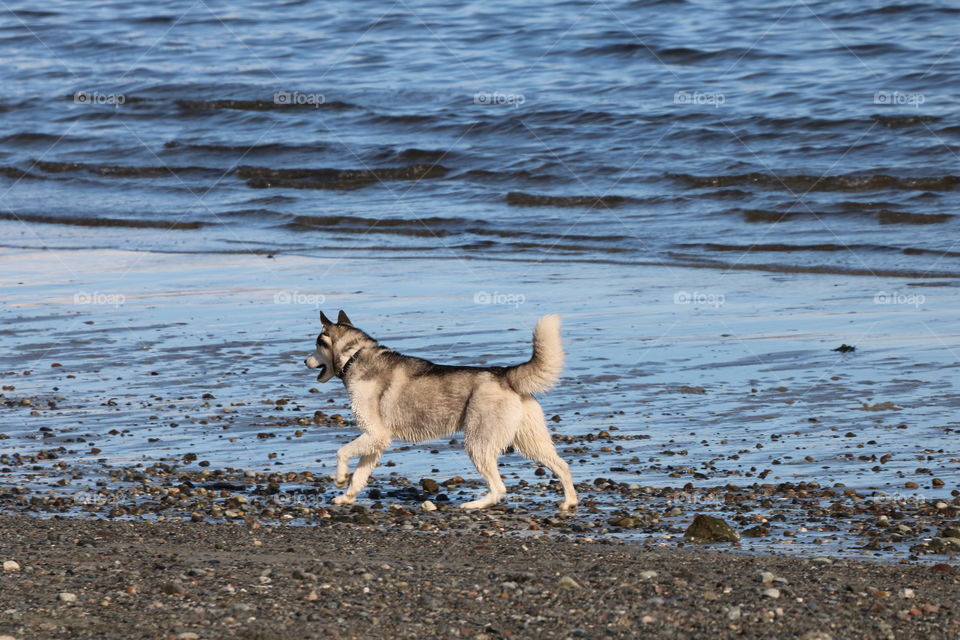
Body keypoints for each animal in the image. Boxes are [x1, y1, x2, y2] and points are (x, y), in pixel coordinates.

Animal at [308, 310, 576, 510]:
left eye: (317, 345)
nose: (304, 361)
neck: (354, 355)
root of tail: (504, 374)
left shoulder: (375, 434)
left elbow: (341, 453)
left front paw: (340, 478)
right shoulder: (376, 440)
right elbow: (360, 474)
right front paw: (348, 496)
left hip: (478, 443)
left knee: (499, 487)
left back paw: (476, 505)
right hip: (531, 442)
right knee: (562, 465)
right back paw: (569, 502)